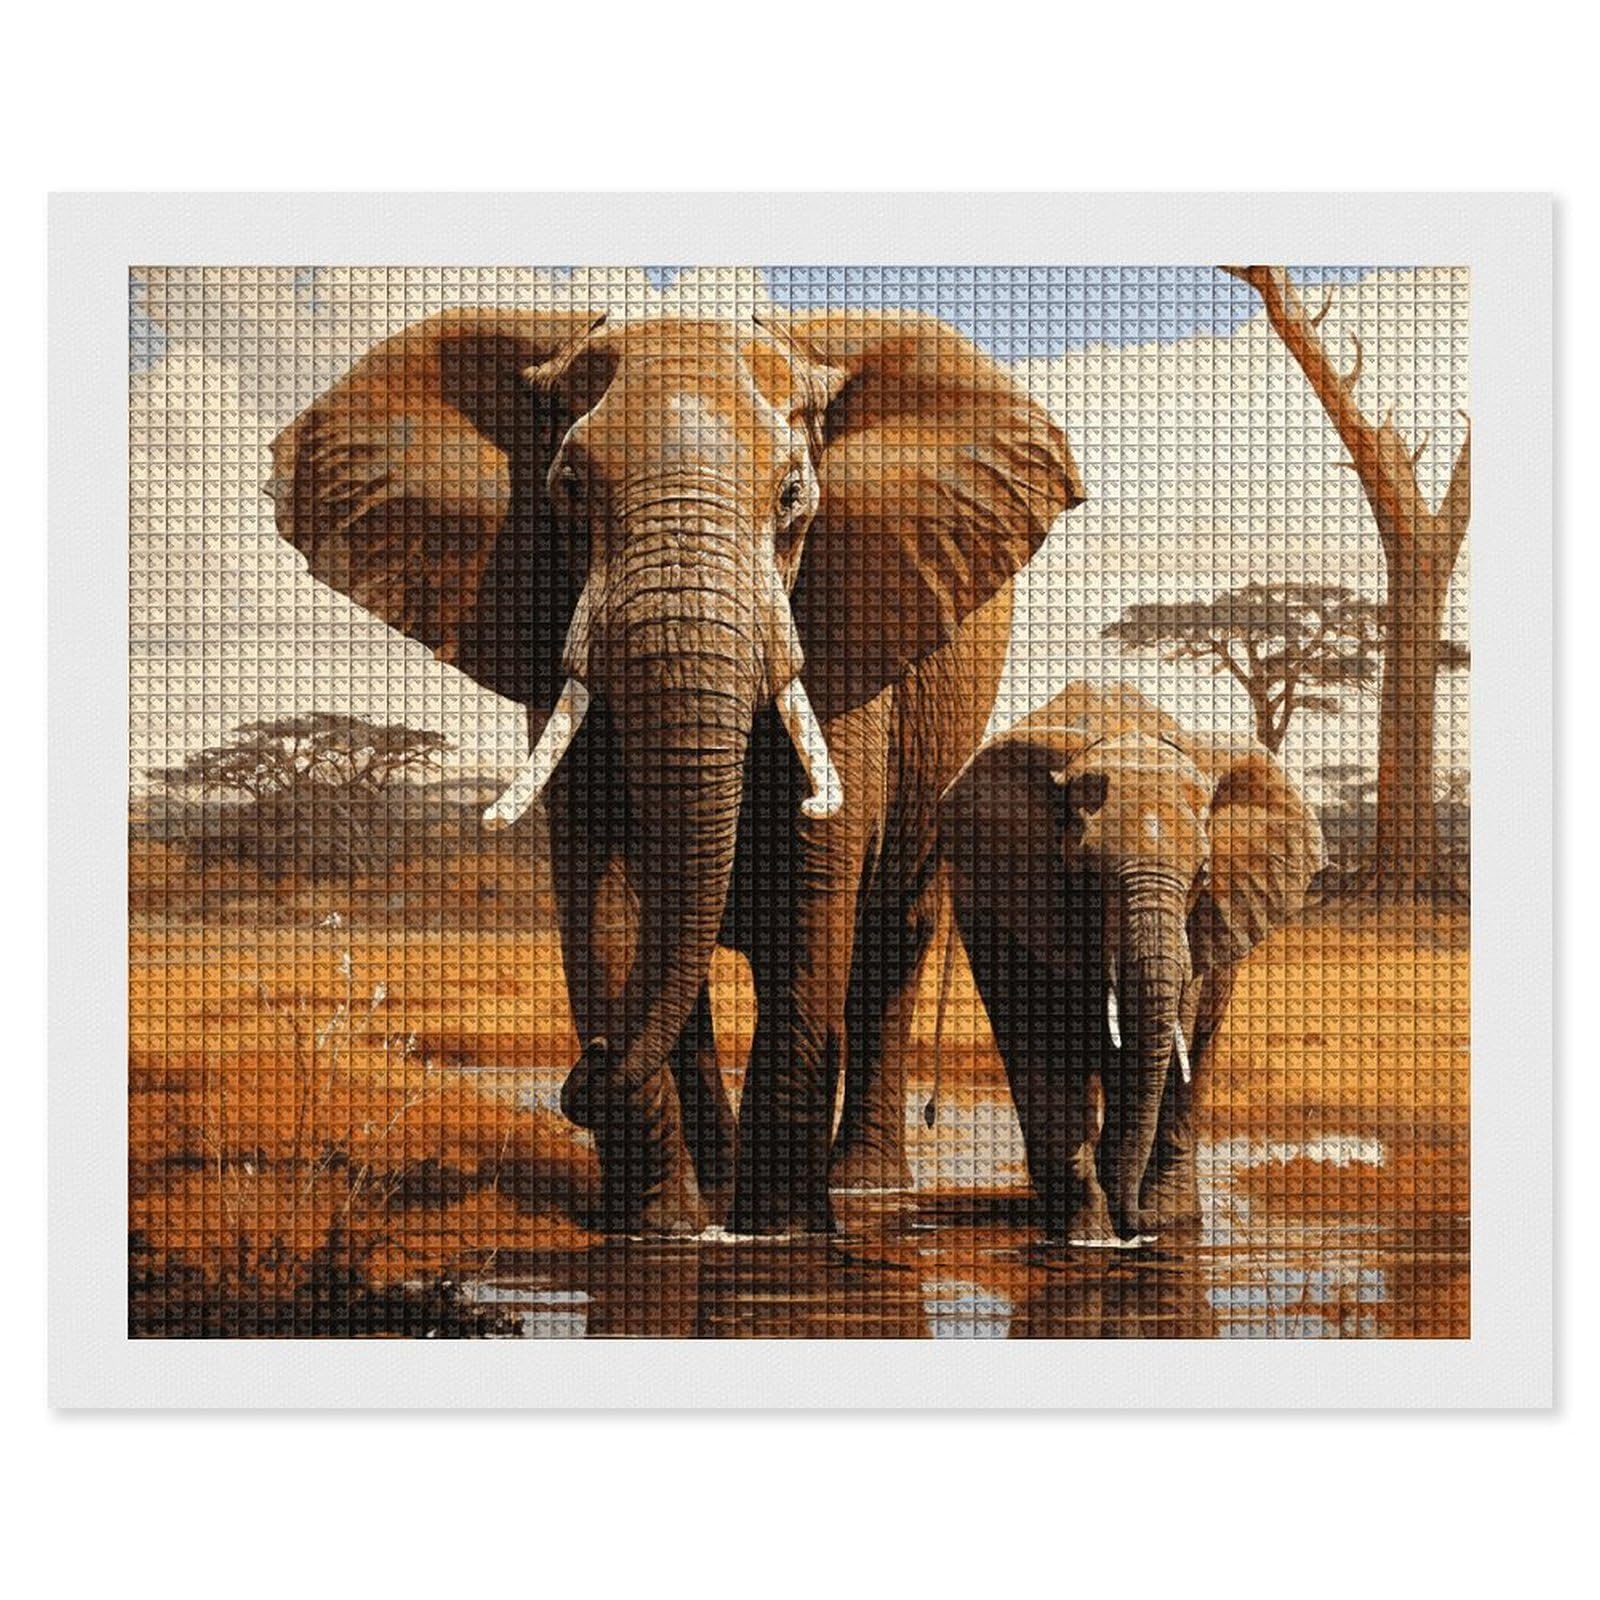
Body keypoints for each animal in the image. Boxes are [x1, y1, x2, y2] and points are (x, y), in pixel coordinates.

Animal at [270, 308, 1084, 1236]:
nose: (584, 1067)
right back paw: (720, 1185)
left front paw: (778, 1233)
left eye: (793, 498)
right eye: (569, 488)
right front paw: (658, 1231)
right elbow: (608, 901)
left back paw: (863, 1188)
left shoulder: (848, 631)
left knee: (887, 943)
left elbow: (812, 894)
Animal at [939, 682, 1323, 1244]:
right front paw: (1087, 1234)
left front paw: (1156, 1222)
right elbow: (1044, 1042)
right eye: (1086, 874)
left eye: (1202, 874)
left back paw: (1172, 1217)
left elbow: (1171, 1032)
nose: (1134, 1229)